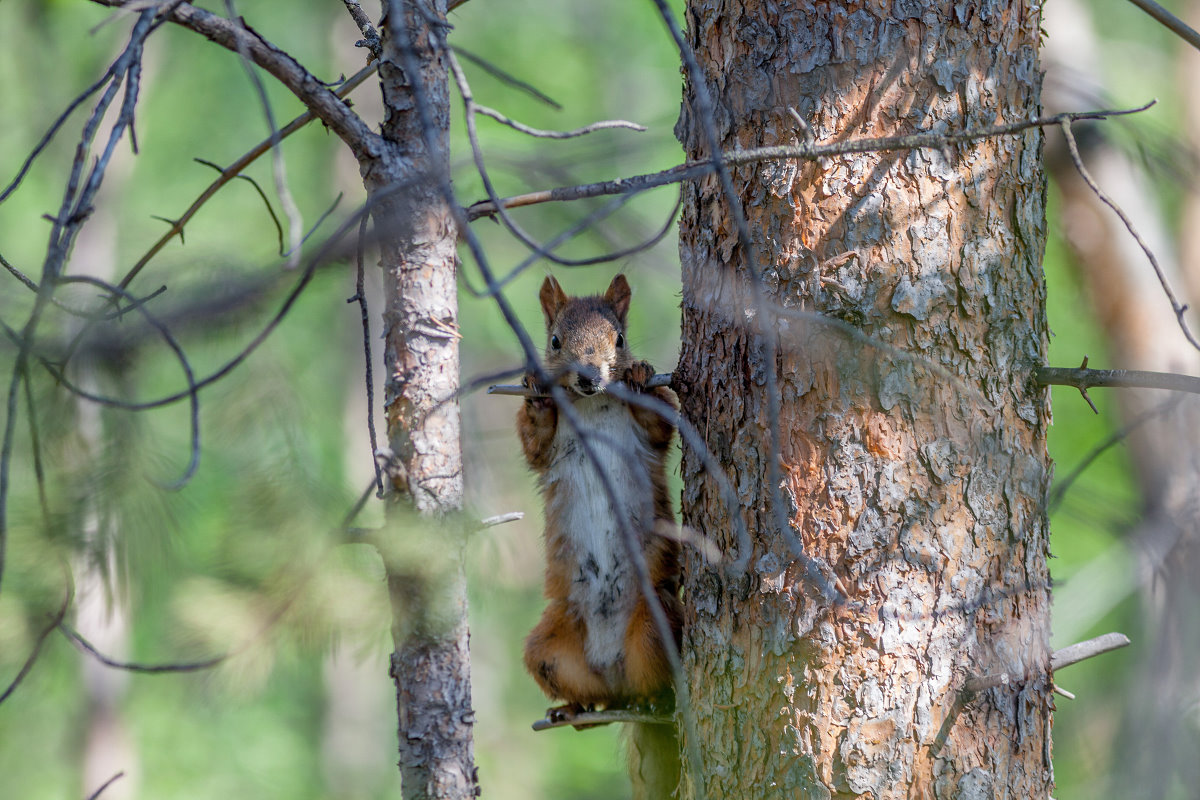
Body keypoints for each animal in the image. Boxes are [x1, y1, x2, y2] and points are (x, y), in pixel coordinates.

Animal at [518, 273, 681, 796]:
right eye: (554, 341)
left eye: (620, 339)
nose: (589, 376)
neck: (592, 406)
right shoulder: (544, 448)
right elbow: (533, 438)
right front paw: (534, 390)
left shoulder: (648, 436)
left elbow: (661, 422)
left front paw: (641, 374)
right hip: (548, 650)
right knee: (598, 706)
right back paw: (573, 710)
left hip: (653, 624)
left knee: (652, 683)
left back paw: (654, 702)